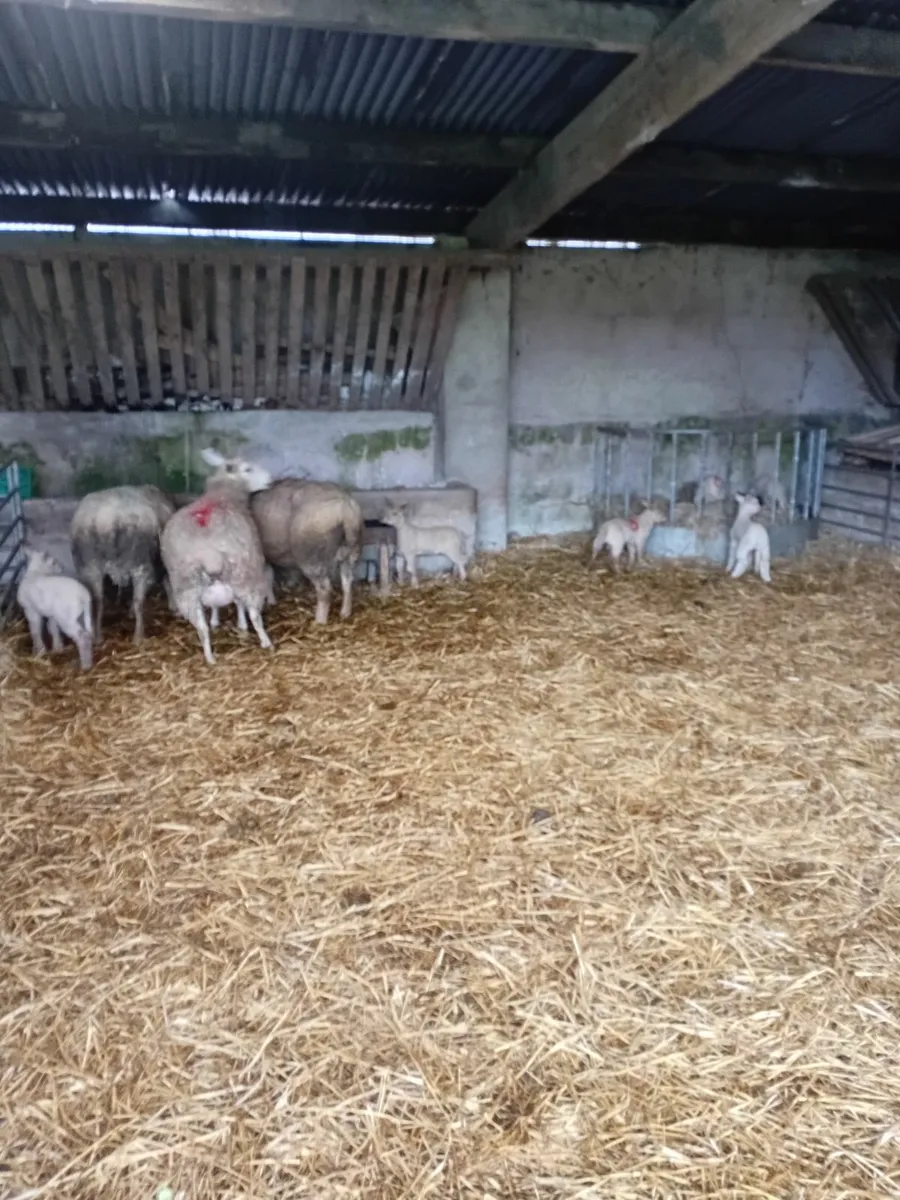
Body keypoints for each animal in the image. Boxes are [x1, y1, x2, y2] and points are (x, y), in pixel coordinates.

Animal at [71, 484, 175, 645]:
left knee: (97, 600)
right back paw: (138, 636)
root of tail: (109, 519)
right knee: (139, 601)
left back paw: (97, 636)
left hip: (90, 567)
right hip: (141, 563)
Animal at [161, 448, 274, 665]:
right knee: (254, 613)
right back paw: (266, 641)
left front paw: (215, 620)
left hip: (187, 586)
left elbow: (215, 606)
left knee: (201, 628)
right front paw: (241, 624)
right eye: (248, 468)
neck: (222, 493)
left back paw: (210, 657)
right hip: (243, 573)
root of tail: (208, 553)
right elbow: (239, 604)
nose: (270, 480)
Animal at [250, 479, 363, 624]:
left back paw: (320, 620)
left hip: (311, 557)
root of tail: (345, 511)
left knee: (325, 590)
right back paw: (345, 612)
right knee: (347, 581)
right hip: (352, 551)